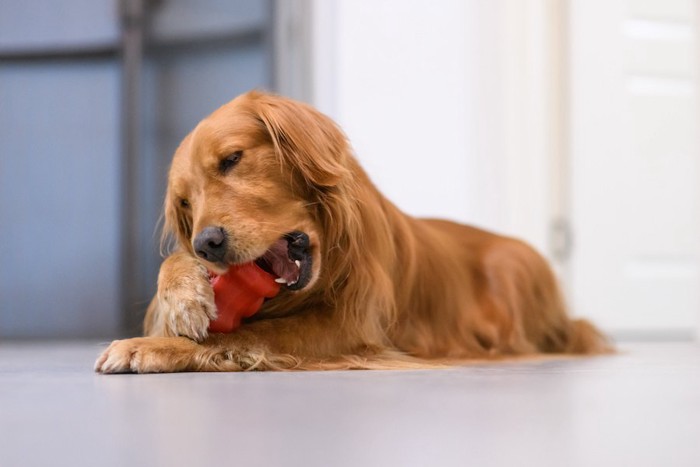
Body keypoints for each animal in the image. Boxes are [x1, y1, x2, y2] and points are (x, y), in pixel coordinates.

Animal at [95, 91, 608, 374]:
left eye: (232, 159)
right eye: (185, 203)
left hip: (514, 265)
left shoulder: (349, 328)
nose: (208, 244)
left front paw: (150, 347)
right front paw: (183, 299)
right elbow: (180, 275)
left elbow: (243, 337)